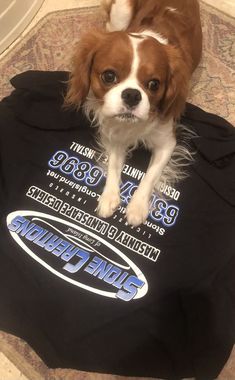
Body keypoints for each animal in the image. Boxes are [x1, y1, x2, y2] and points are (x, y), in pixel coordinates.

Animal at [65, 0, 202, 226]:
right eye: (109, 76)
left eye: (154, 84)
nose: (131, 95)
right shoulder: (114, 134)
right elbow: (113, 164)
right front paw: (109, 196)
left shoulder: (167, 143)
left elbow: (150, 175)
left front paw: (137, 207)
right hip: (121, 9)